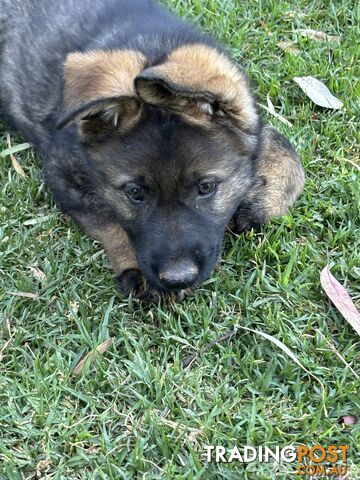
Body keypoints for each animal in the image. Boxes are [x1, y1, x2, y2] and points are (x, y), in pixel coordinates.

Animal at [0, 0, 304, 298]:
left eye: (206, 188)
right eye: (134, 193)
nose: (179, 279)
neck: (153, 45)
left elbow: (286, 151)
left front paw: (260, 203)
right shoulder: (61, 171)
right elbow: (107, 220)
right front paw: (134, 267)